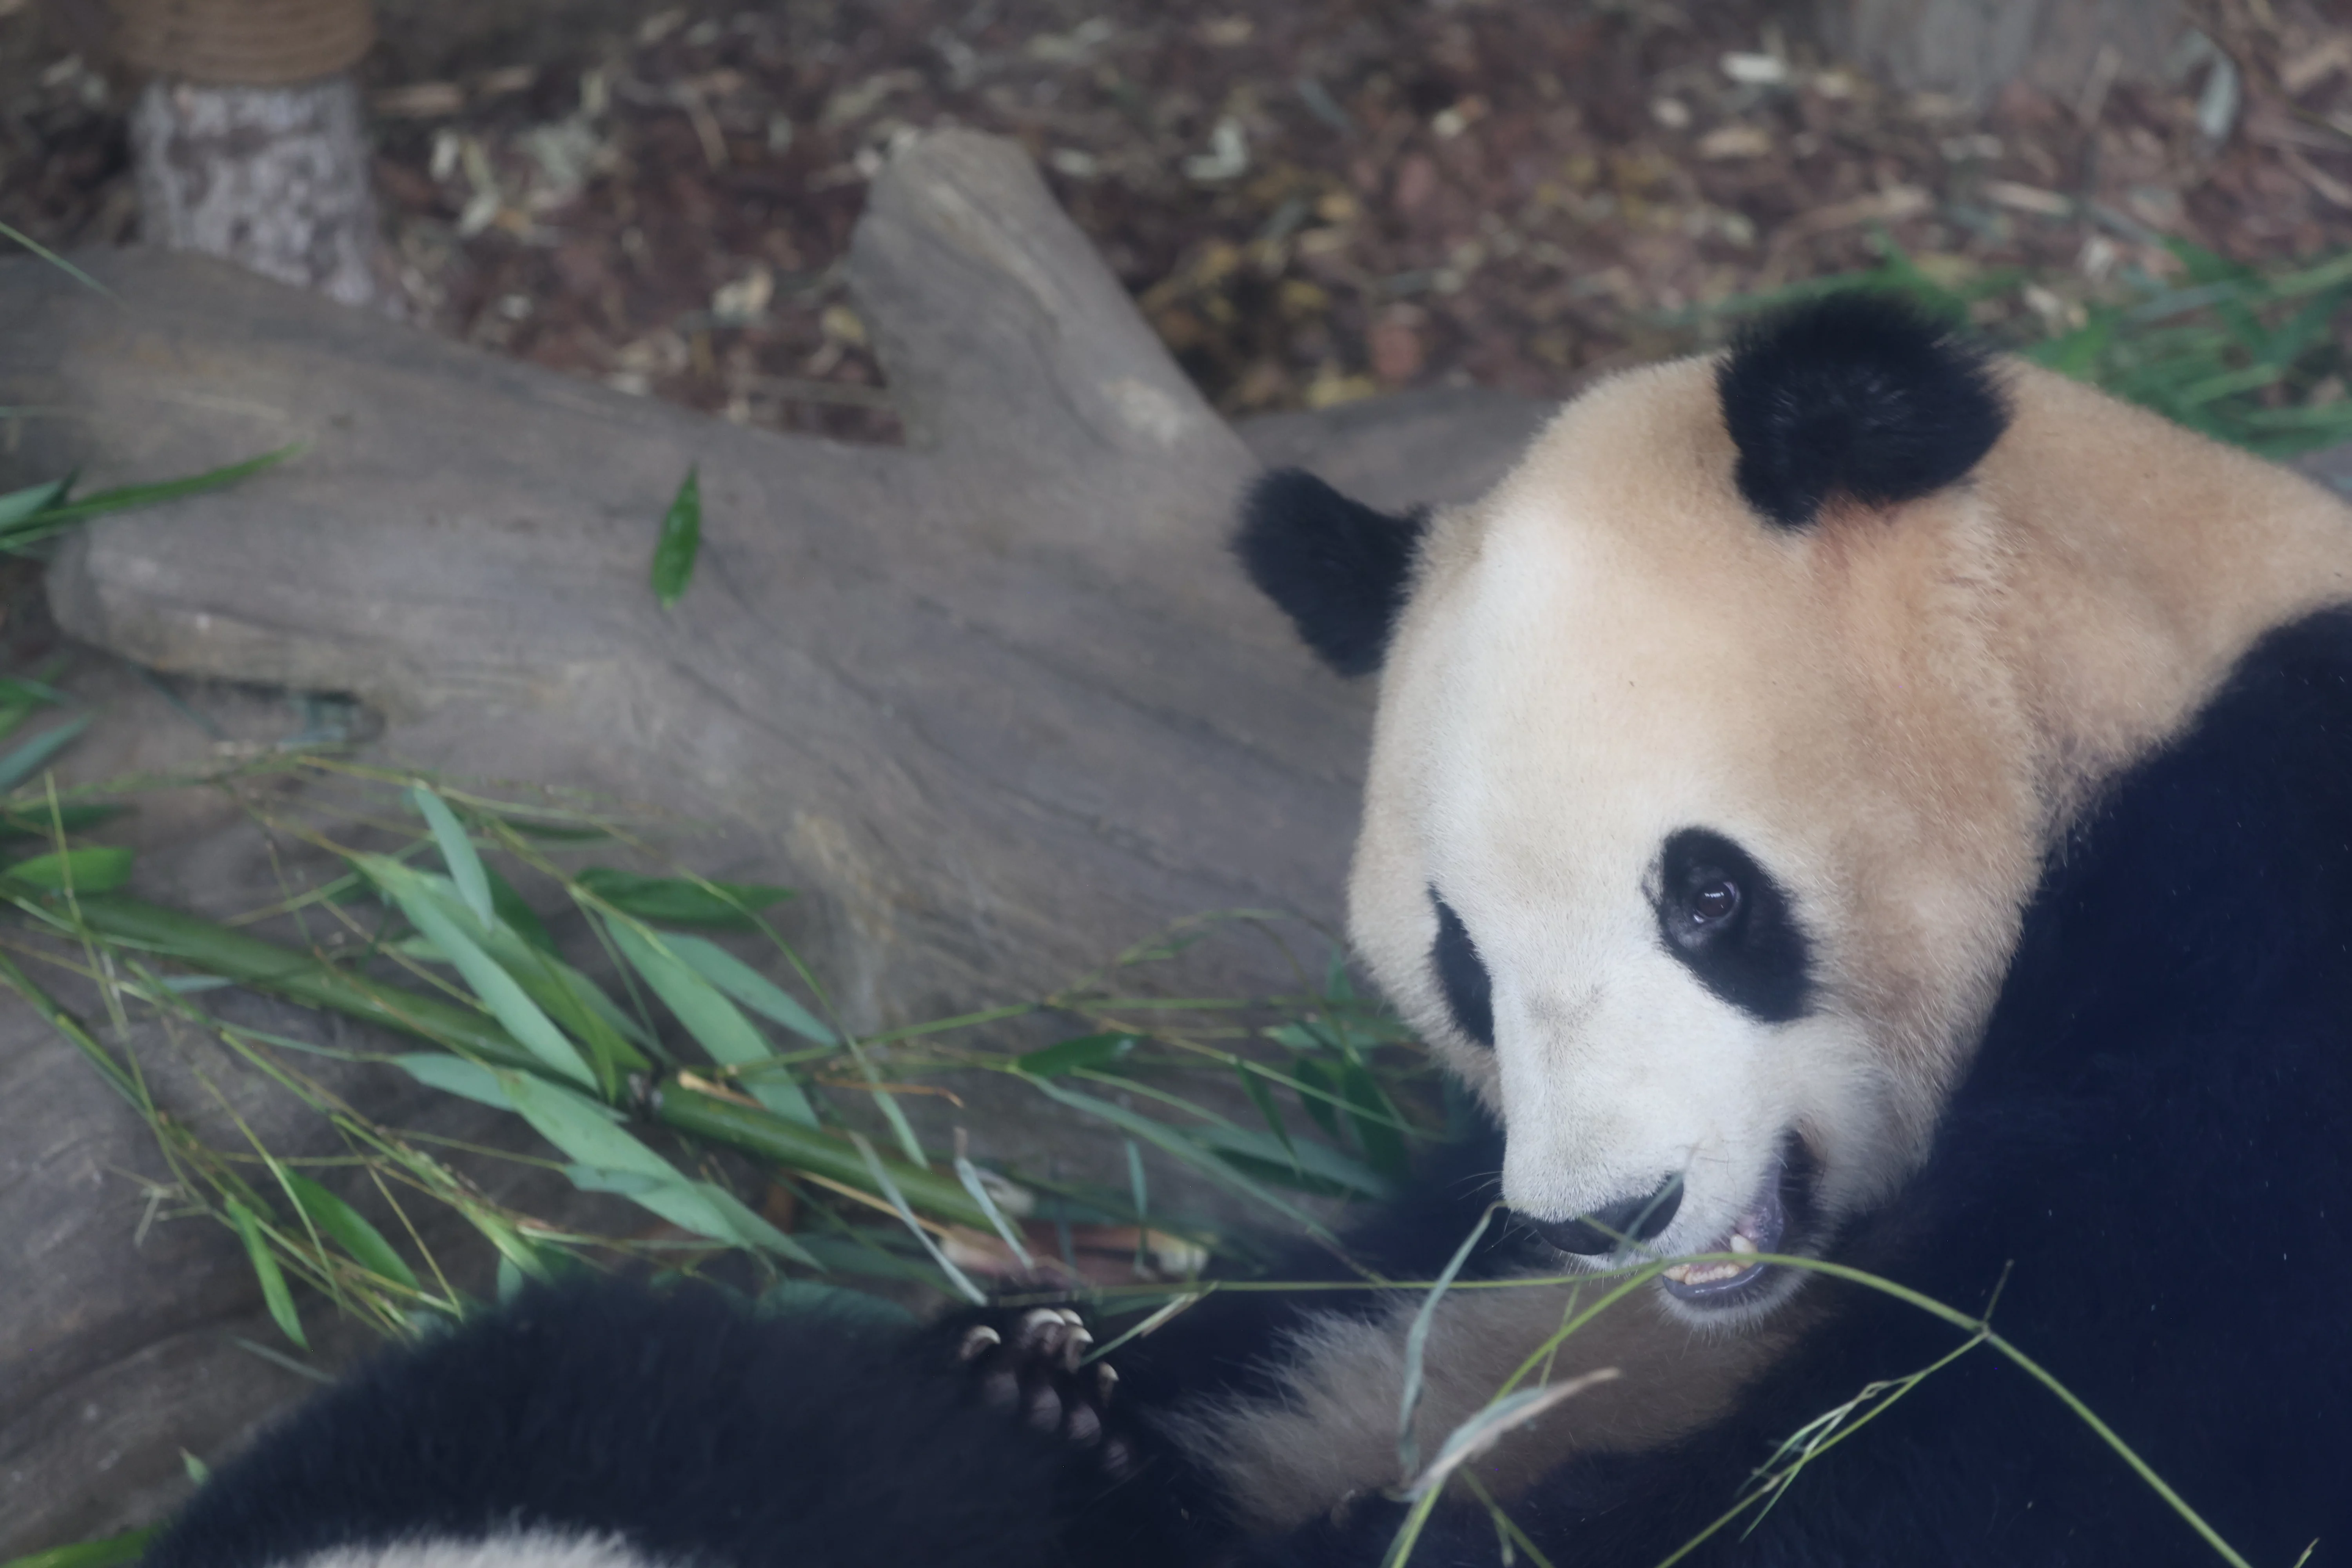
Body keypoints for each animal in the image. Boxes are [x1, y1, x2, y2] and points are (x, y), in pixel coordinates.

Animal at [139, 292, 2352, 1568]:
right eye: (1461, 960)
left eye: (1708, 891)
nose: (1614, 1213)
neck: (2114, 672)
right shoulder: (1456, 1248)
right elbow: (1324, 1285)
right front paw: (1038, 1374)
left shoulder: (2262, 927)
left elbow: (2039, 1442)